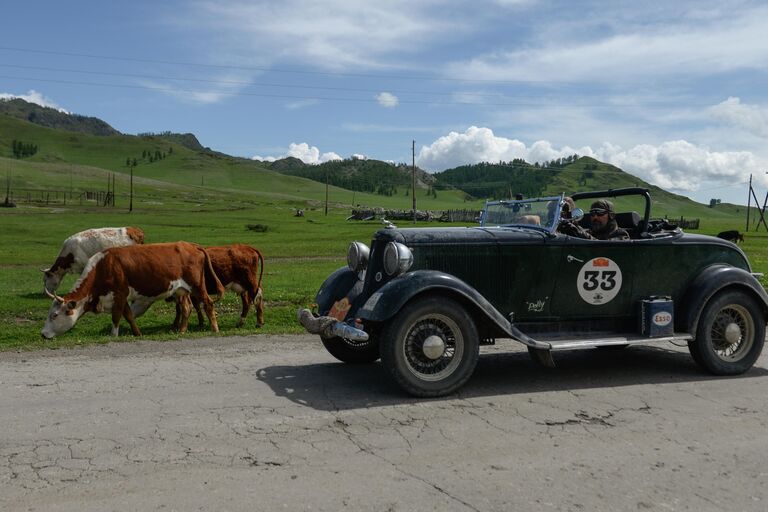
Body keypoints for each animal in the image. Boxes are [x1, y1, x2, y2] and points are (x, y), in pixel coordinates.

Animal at [42, 241, 224, 338]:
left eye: (54, 315)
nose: (43, 334)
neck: (103, 266)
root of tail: (192, 245)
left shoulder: (119, 294)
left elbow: (116, 316)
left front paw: (113, 336)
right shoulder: (123, 298)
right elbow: (128, 315)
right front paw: (137, 333)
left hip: (197, 286)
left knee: (208, 303)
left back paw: (215, 329)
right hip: (181, 290)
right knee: (186, 308)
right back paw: (181, 331)